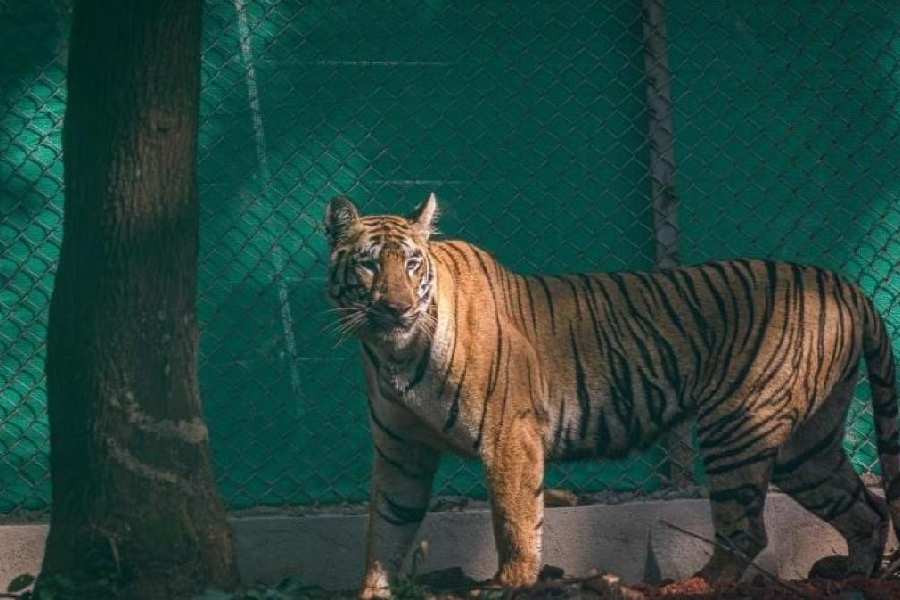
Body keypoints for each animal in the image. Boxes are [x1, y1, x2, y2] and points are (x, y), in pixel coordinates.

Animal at [323, 193, 900, 599]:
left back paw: (695, 584)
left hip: (739, 424)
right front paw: (374, 592)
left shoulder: (509, 438)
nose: (397, 308)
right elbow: (387, 526)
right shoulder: (401, 451)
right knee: (866, 510)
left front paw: (509, 585)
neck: (393, 351)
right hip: (807, 446)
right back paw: (854, 576)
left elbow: (514, 523)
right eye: (370, 264)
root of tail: (850, 286)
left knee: (747, 529)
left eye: (411, 264)